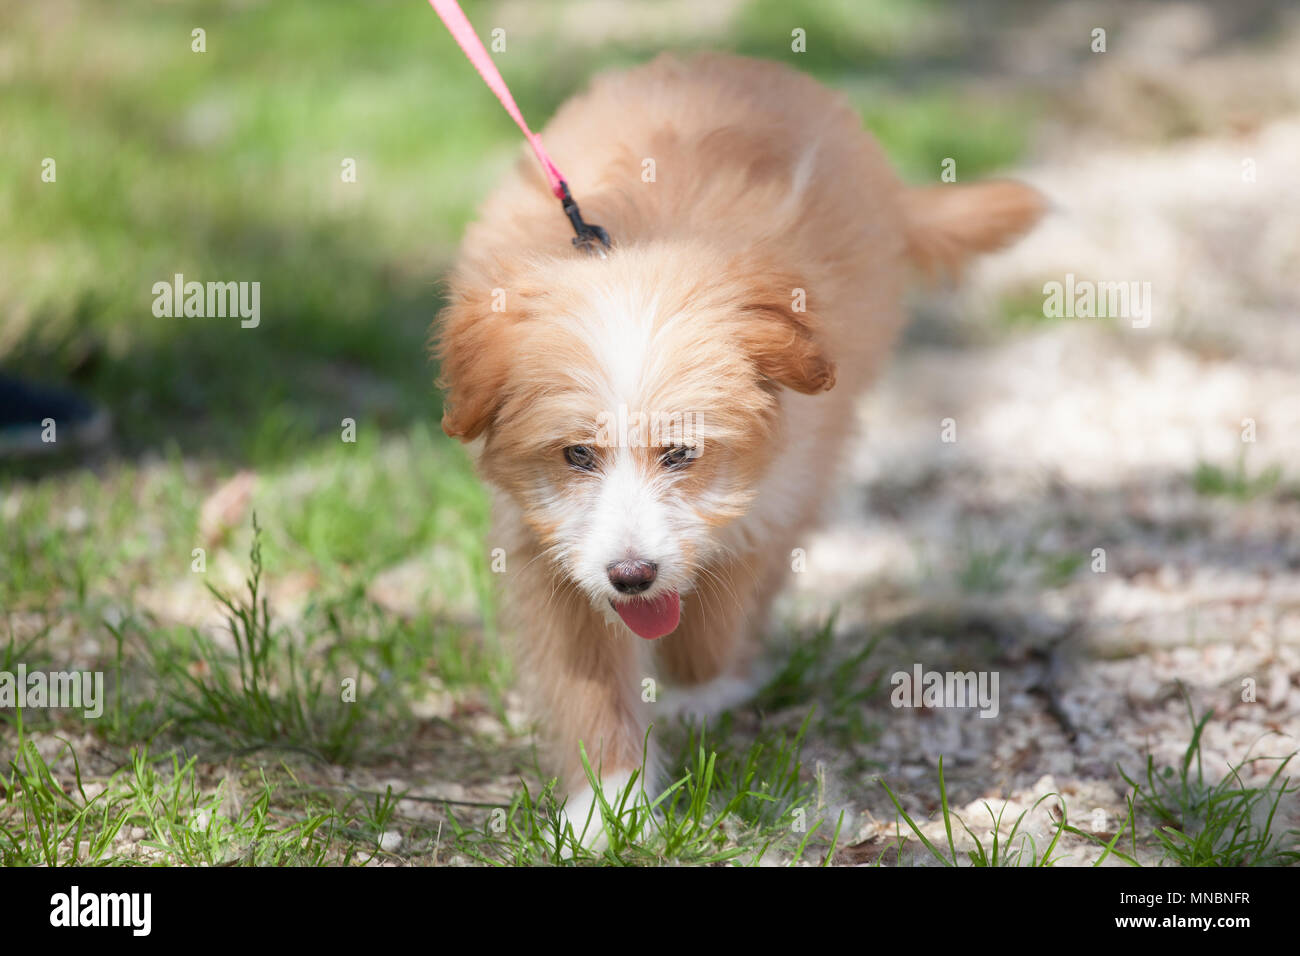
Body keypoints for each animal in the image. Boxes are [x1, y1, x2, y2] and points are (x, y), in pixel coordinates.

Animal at [431, 54, 1040, 842]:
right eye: (576, 456)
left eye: (682, 454)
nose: (633, 576)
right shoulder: (549, 543)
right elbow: (590, 679)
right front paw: (609, 806)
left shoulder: (772, 485)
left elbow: (716, 613)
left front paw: (701, 690)